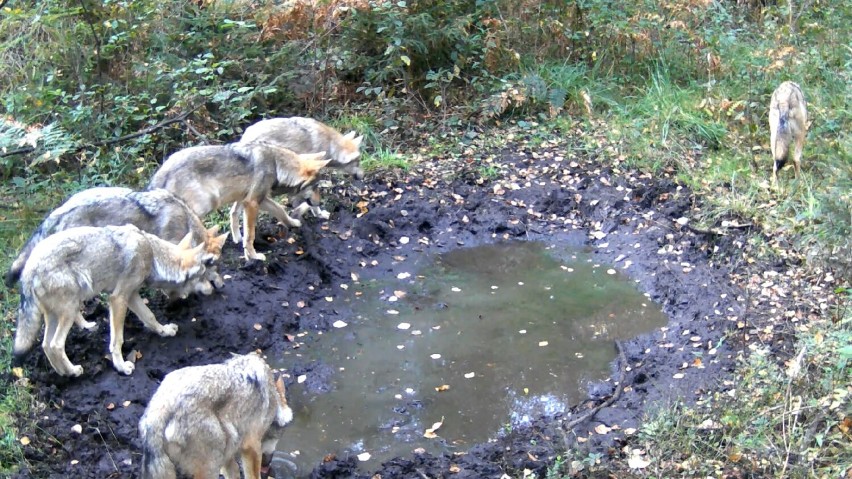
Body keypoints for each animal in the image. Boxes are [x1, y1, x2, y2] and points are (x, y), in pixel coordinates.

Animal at [13, 225, 223, 378]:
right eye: (204, 275)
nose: (213, 289)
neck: (152, 254)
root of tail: (28, 270)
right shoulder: (118, 298)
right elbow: (117, 340)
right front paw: (121, 367)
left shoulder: (132, 296)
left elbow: (150, 316)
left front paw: (164, 331)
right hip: (70, 310)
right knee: (55, 345)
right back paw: (73, 371)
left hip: (56, 315)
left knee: (45, 345)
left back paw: (63, 373)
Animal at [136, 352, 290, 479]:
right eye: (280, 435)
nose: (269, 462)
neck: (274, 398)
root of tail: (158, 412)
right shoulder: (251, 446)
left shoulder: (229, 455)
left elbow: (233, 472)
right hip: (211, 465)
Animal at [148, 142, 328, 262]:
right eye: (316, 187)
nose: (319, 204)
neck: (277, 165)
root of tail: (162, 170)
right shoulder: (252, 203)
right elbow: (250, 235)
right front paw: (252, 256)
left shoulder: (254, 199)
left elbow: (279, 210)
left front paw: (293, 223)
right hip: (204, 205)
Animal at [230, 116, 366, 244]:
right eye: (358, 162)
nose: (363, 175)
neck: (329, 144)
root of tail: (245, 136)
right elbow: (311, 202)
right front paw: (318, 213)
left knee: (233, 211)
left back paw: (237, 238)